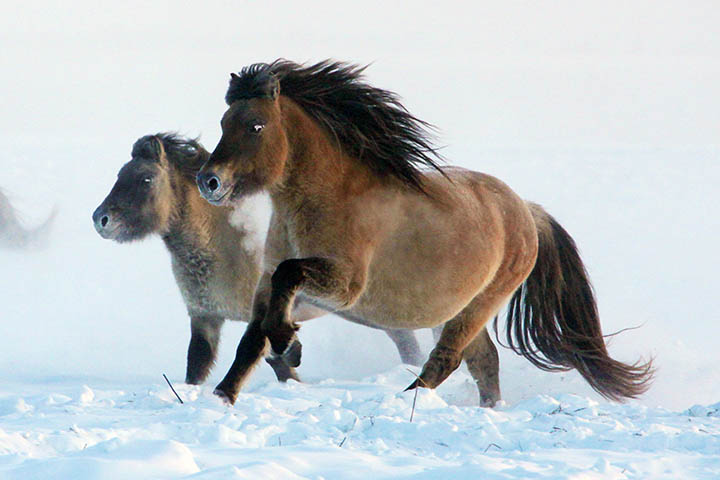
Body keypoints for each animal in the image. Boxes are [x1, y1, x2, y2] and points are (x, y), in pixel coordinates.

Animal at [93, 132, 424, 386]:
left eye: (146, 179)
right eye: (120, 175)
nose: (101, 219)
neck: (226, 243)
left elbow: (280, 363)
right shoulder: (205, 318)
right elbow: (196, 368)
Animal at [195, 60, 652, 404]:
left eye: (256, 126)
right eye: (223, 122)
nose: (208, 181)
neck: (327, 197)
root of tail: (526, 211)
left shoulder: (345, 285)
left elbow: (287, 279)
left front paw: (289, 344)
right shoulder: (271, 284)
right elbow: (252, 340)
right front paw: (224, 395)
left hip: (478, 305)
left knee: (447, 358)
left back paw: (406, 399)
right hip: (463, 308)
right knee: (484, 362)